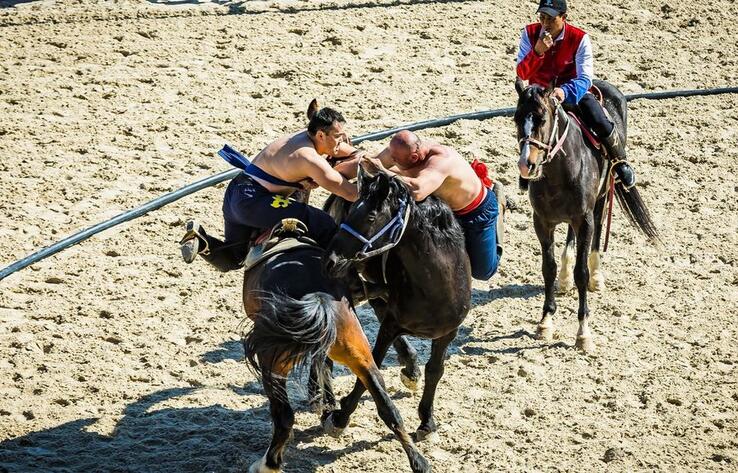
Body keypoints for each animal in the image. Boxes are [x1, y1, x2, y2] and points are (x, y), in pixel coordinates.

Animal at [239, 222, 428, 472]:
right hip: (362, 359)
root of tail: (320, 297)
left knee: (284, 416)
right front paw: (326, 404)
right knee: (389, 409)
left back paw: (268, 463)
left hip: (273, 363)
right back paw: (420, 462)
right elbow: (323, 366)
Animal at [512, 78, 656, 350]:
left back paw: (596, 277)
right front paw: (545, 323)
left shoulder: (585, 219)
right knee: (570, 236)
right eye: (516, 119)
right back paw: (564, 278)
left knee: (598, 228)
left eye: (542, 119)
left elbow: (582, 272)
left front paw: (583, 332)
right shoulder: (542, 221)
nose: (527, 165)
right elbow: (548, 268)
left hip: (602, 196)